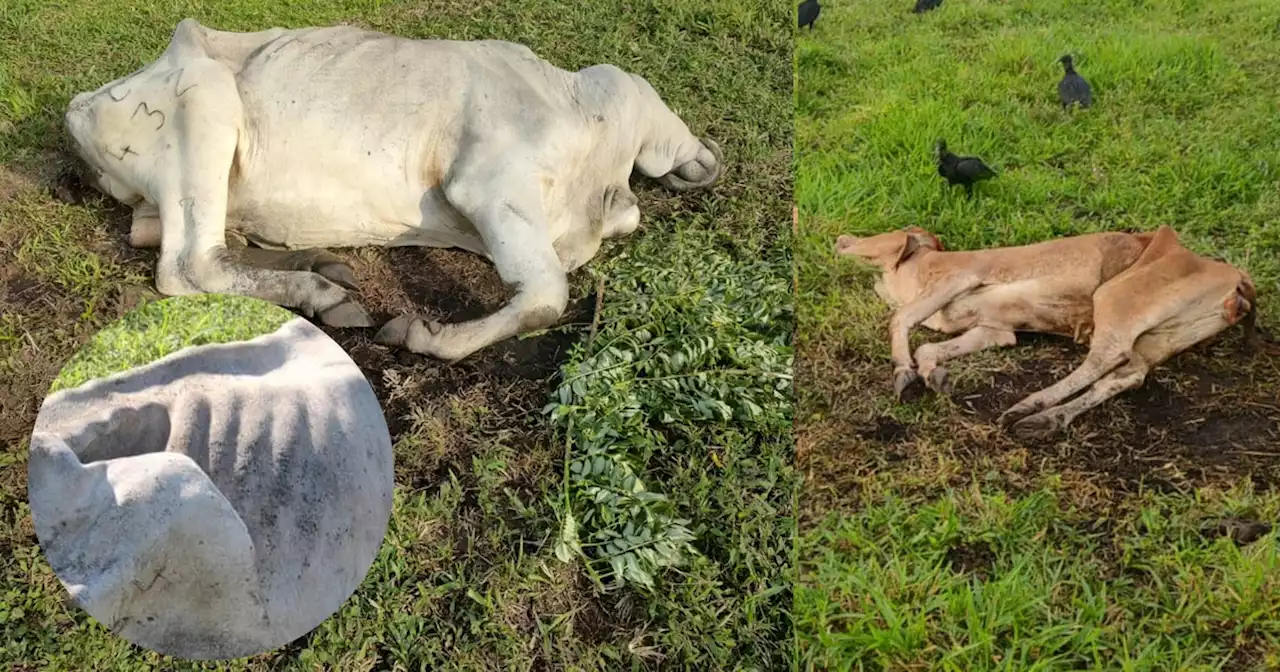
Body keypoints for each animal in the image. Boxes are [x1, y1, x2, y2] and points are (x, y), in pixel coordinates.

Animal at [64, 18, 727, 360]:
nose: (705, 162)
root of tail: (82, 103)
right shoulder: (489, 180)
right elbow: (547, 295)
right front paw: (429, 335)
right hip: (203, 99)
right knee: (187, 265)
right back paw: (318, 292)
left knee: (171, 237)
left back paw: (319, 265)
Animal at [829, 225, 1269, 440]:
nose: (840, 240)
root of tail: (1238, 276)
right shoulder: (995, 330)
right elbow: (930, 349)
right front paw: (934, 375)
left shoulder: (959, 277)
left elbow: (900, 319)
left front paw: (904, 374)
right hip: (1160, 337)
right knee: (1124, 375)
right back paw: (1044, 421)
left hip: (1117, 298)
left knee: (1105, 358)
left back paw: (1028, 406)